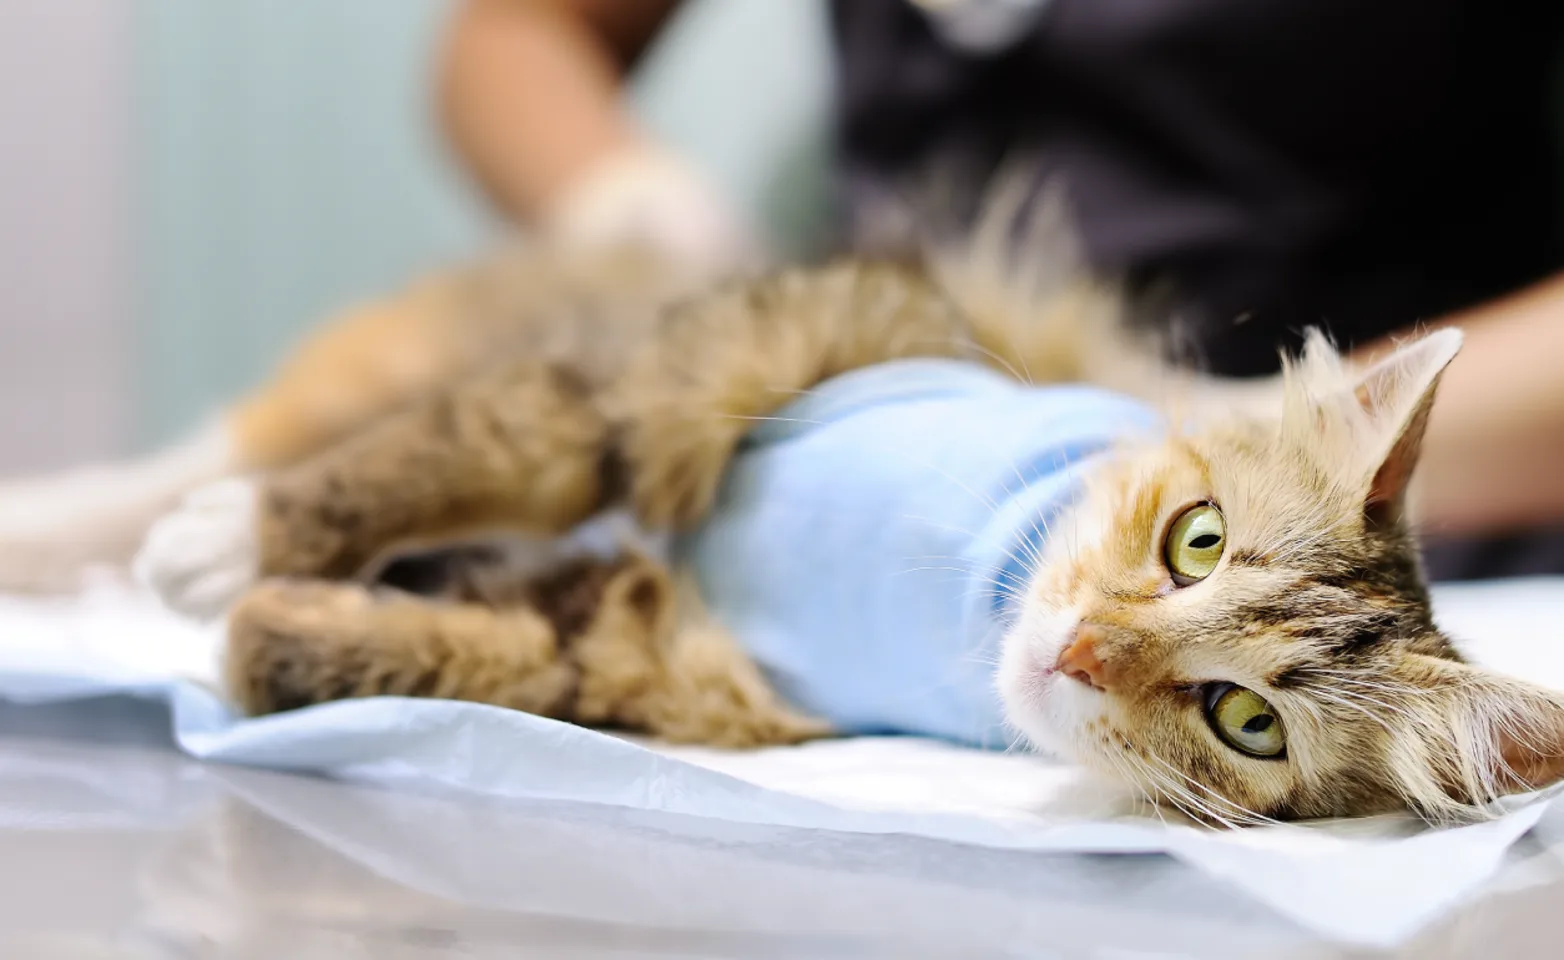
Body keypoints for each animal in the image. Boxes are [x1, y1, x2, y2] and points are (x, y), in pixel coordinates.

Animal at [3, 220, 1564, 825]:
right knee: (237, 439)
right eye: (1196, 540)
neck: (965, 584)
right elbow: (454, 463)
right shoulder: (693, 384)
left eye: (1246, 722)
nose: (1077, 654)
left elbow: (456, 656)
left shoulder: (664, 666)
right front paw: (234, 553)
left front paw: (267, 631)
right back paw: (84, 528)